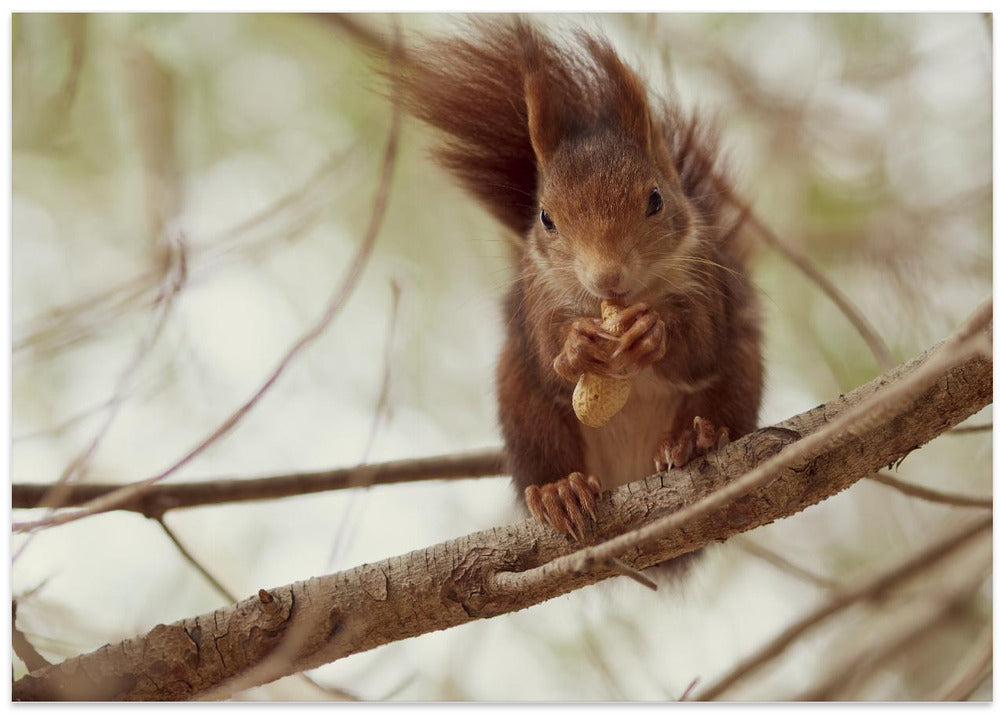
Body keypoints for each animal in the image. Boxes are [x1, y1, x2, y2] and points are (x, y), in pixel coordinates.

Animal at [392, 18, 763, 549]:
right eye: (546, 218)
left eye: (656, 199)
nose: (607, 277)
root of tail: (627, 473)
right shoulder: (538, 295)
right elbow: (551, 357)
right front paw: (575, 346)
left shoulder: (705, 277)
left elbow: (701, 345)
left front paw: (654, 331)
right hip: (525, 408)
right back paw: (559, 491)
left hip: (739, 374)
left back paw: (694, 441)